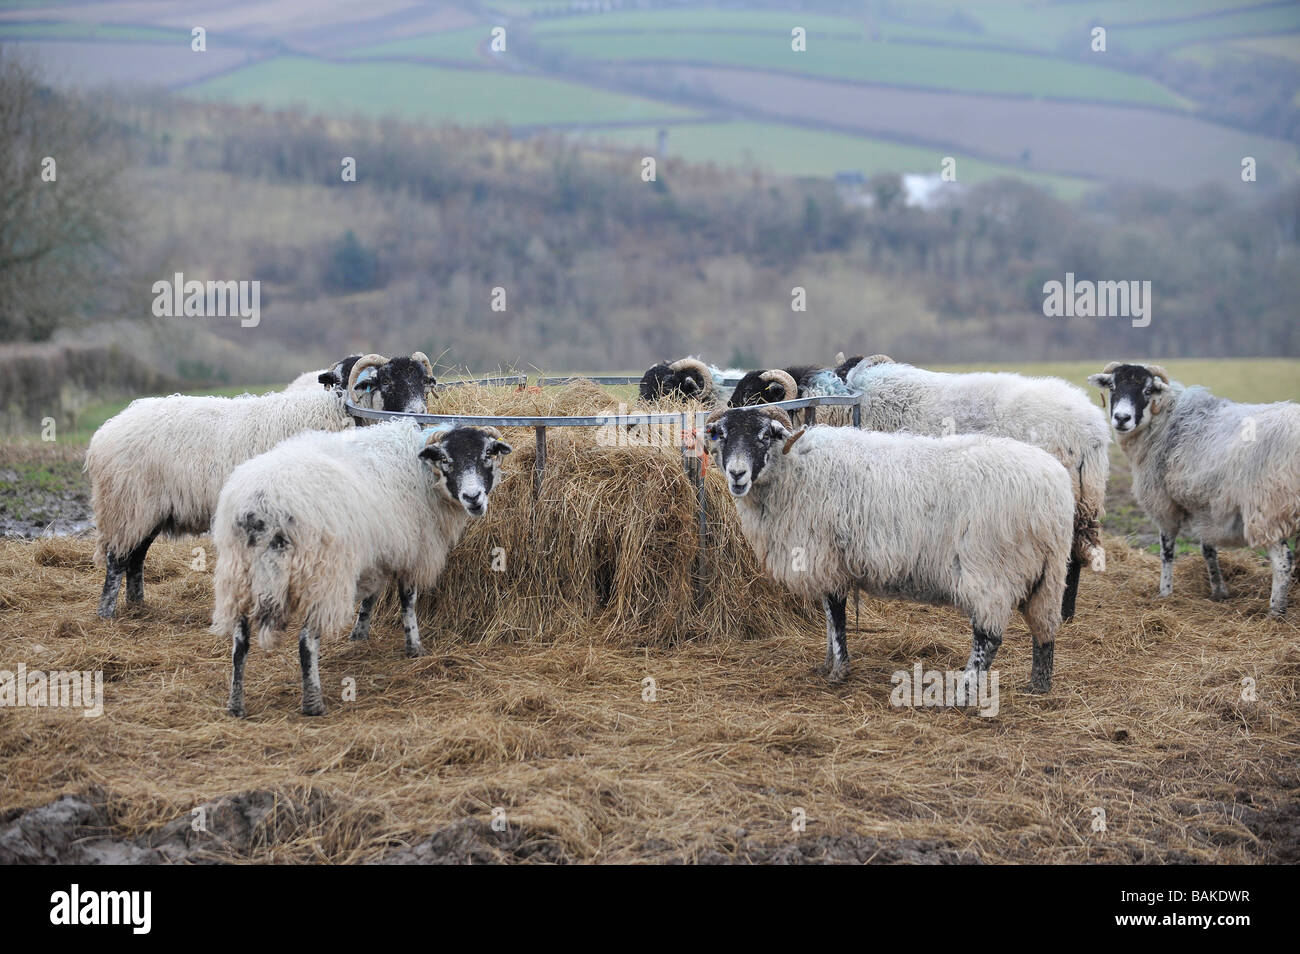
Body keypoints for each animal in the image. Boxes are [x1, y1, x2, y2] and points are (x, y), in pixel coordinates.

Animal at [86, 353, 434, 619]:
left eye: (422, 383)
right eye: (385, 383)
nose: (420, 416)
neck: (336, 411)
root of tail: (104, 433)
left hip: (146, 509)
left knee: (136, 557)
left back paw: (138, 607)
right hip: (126, 504)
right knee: (117, 560)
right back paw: (107, 614)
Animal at [212, 421, 512, 716]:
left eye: (487, 454)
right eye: (446, 459)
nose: (473, 497)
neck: (423, 472)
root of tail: (262, 506)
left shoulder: (377, 552)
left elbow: (371, 595)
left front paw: (359, 634)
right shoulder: (411, 551)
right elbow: (408, 601)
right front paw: (414, 647)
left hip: (238, 577)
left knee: (240, 644)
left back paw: (235, 705)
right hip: (323, 576)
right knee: (306, 641)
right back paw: (313, 703)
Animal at [704, 406, 1074, 693]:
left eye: (764, 435)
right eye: (721, 435)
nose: (737, 475)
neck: (794, 469)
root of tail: (1053, 490)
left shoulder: (829, 559)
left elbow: (836, 616)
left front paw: (839, 671)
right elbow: (828, 619)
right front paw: (827, 664)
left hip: (991, 568)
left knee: (989, 635)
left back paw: (965, 690)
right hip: (1049, 574)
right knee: (1045, 630)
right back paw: (1038, 685)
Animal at [1087, 362, 1300, 618]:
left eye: (1148, 390)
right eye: (1112, 386)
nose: (1121, 418)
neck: (1167, 420)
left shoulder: (1164, 504)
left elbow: (1167, 551)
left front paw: (1165, 592)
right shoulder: (1204, 502)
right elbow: (1208, 549)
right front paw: (1218, 591)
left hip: (1267, 506)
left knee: (1283, 560)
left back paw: (1275, 611)